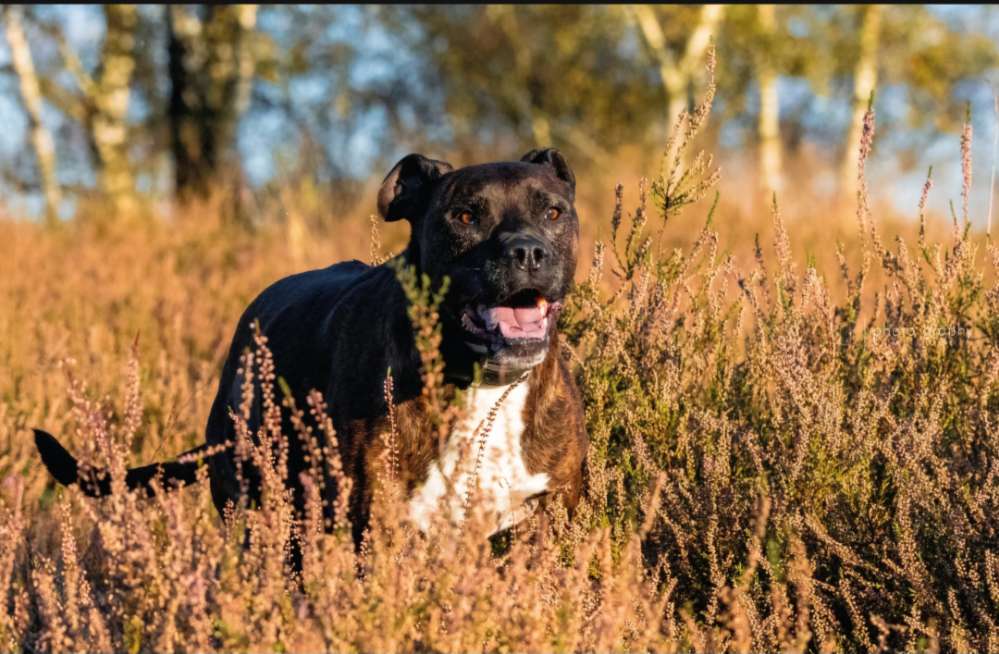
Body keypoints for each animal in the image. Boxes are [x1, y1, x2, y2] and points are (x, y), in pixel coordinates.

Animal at [35, 147, 588, 548]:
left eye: (553, 212)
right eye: (466, 215)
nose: (528, 250)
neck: (482, 384)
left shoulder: (543, 521)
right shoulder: (379, 527)